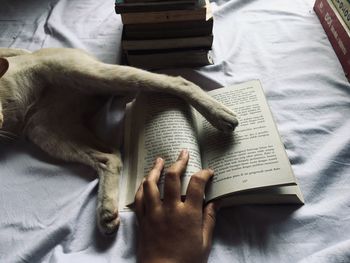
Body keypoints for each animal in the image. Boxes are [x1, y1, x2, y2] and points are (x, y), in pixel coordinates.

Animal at [0, 47, 238, 235]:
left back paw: (218, 113)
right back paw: (106, 212)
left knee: (175, 81)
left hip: (90, 74)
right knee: (110, 157)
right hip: (46, 127)